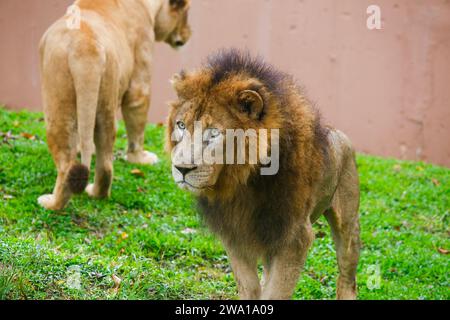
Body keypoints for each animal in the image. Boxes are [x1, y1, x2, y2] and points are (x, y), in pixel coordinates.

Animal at [38, 0, 192, 210]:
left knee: (66, 164)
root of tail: (85, 46)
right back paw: (95, 192)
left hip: (57, 102)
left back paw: (51, 203)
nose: (188, 34)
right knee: (105, 162)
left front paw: (138, 159)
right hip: (105, 97)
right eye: (186, 13)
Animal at [167, 48, 360, 298]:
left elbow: (275, 292)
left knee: (347, 276)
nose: (181, 169)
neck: (242, 183)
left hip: (347, 226)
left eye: (214, 133)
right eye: (181, 125)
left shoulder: (294, 237)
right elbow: (249, 286)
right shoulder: (235, 235)